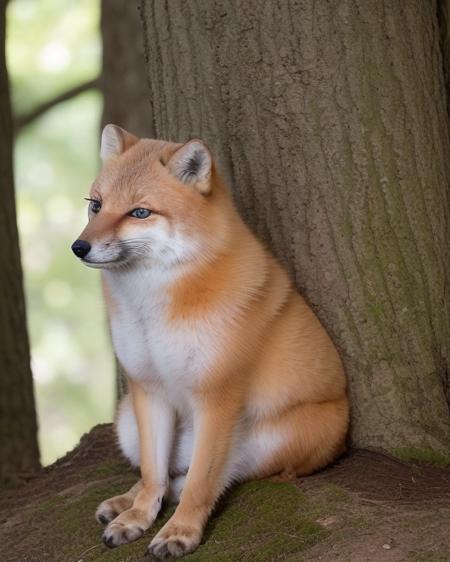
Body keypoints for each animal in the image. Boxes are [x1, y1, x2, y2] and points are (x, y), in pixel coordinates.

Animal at [72, 124, 350, 556]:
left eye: (140, 212)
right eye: (96, 206)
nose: (79, 247)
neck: (152, 308)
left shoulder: (217, 397)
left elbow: (200, 484)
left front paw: (181, 531)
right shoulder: (148, 389)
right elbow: (153, 475)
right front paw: (137, 518)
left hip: (270, 441)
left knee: (218, 475)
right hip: (128, 424)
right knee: (163, 474)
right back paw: (125, 502)